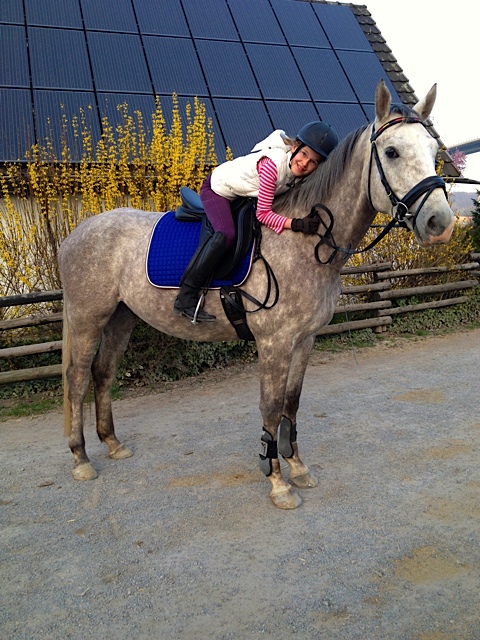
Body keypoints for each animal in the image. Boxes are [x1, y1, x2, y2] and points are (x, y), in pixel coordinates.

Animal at [59, 80, 454, 510]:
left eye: (433, 150)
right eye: (392, 151)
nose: (441, 223)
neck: (303, 242)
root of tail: (76, 233)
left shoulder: (304, 340)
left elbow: (291, 404)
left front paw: (297, 467)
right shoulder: (274, 343)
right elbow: (270, 407)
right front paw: (278, 483)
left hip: (121, 317)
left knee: (102, 373)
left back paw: (113, 444)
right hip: (88, 318)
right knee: (77, 378)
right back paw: (81, 459)